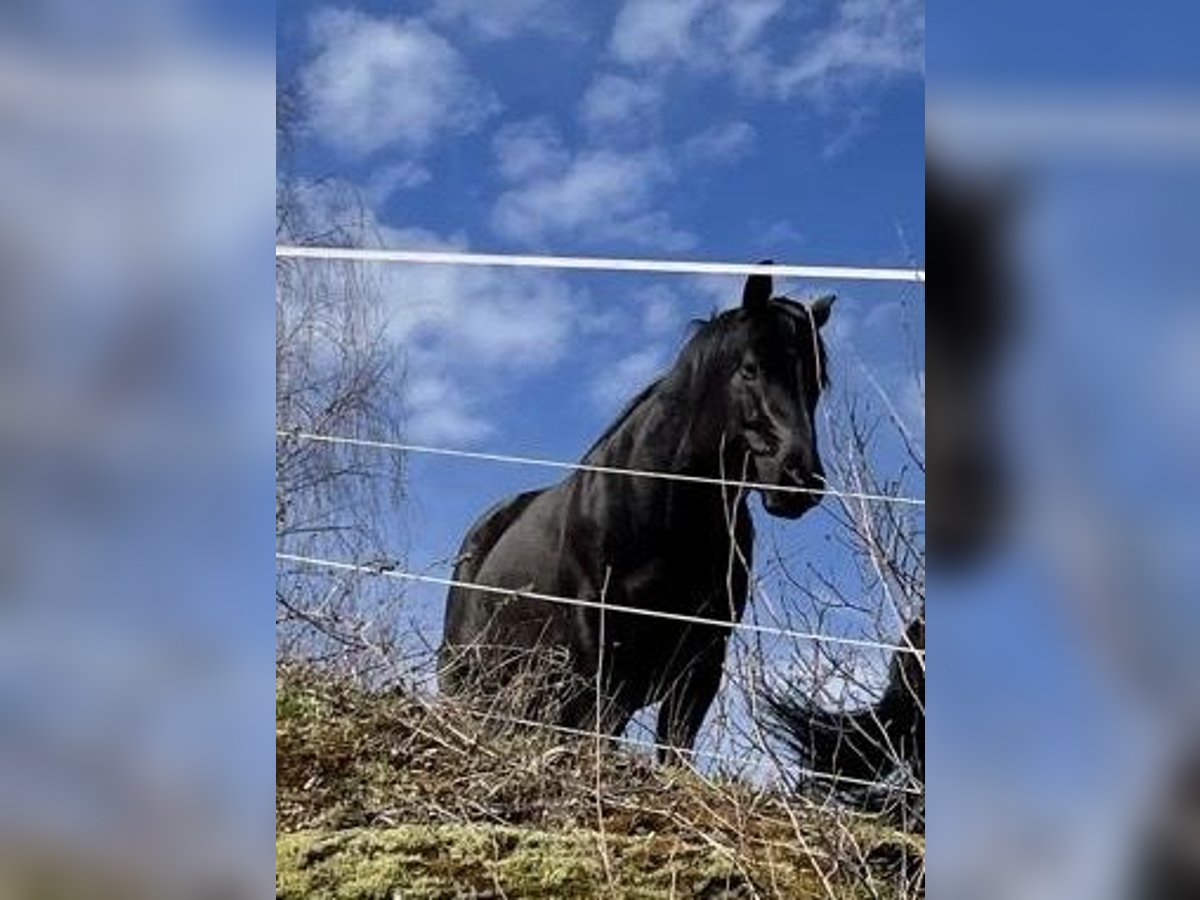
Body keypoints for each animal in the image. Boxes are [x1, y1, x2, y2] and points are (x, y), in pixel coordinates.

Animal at [438, 268, 835, 761]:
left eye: (818, 383)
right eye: (750, 369)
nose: (798, 478)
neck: (660, 515)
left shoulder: (702, 661)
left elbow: (674, 749)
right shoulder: (599, 658)